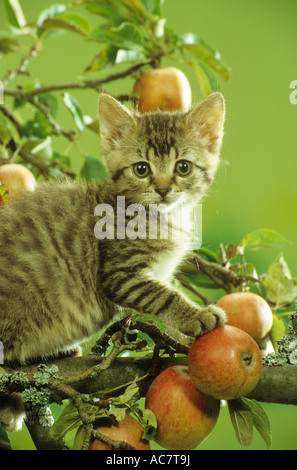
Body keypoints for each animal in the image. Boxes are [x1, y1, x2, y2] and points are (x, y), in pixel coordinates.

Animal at [0, 90, 224, 432]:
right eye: (141, 169)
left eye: (183, 167)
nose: (163, 189)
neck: (163, 218)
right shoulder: (120, 275)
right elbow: (164, 296)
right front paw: (196, 316)